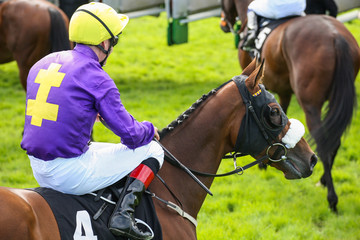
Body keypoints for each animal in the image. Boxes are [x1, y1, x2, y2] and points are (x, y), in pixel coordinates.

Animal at [221, 0, 360, 212]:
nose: (223, 24)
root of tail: (335, 36)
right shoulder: (283, 93)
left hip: (310, 105)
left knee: (324, 143)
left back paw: (332, 199)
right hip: (336, 101)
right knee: (334, 141)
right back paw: (323, 180)